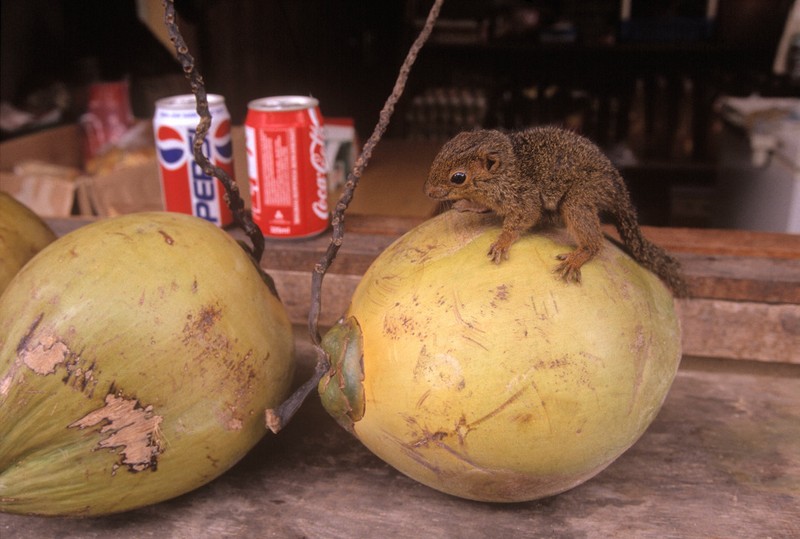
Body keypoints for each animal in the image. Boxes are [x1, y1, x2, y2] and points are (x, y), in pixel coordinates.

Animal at [424, 126, 688, 298]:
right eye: (437, 156)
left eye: (458, 177)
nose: (428, 191)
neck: (506, 172)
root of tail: (616, 186)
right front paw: (470, 204)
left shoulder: (524, 197)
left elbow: (524, 218)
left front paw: (502, 242)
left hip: (578, 200)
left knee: (595, 241)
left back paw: (578, 257)